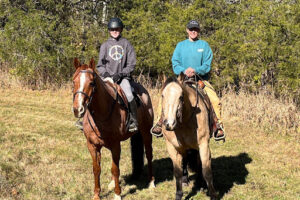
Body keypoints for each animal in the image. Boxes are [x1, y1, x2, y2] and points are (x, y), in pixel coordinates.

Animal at [71, 57, 154, 200]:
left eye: (92, 83)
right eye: (73, 81)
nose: (78, 109)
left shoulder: (115, 145)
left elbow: (115, 169)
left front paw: (117, 194)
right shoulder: (92, 145)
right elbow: (96, 169)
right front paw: (97, 194)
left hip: (146, 133)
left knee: (149, 154)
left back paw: (152, 182)